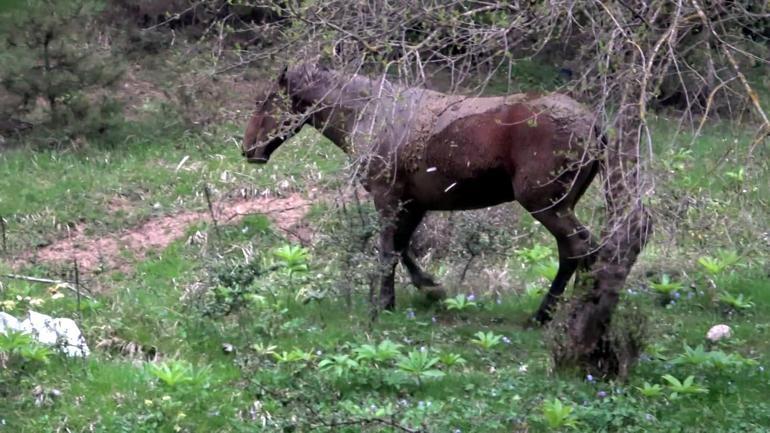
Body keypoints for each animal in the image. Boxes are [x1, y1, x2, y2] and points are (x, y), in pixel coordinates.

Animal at [240, 63, 600, 320]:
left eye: (263, 101)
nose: (247, 150)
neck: (369, 112)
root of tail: (594, 127)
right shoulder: (413, 203)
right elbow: (402, 249)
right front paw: (430, 288)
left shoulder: (387, 198)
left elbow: (387, 251)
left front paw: (385, 304)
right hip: (559, 207)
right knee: (582, 251)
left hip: (546, 205)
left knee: (578, 249)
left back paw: (546, 315)